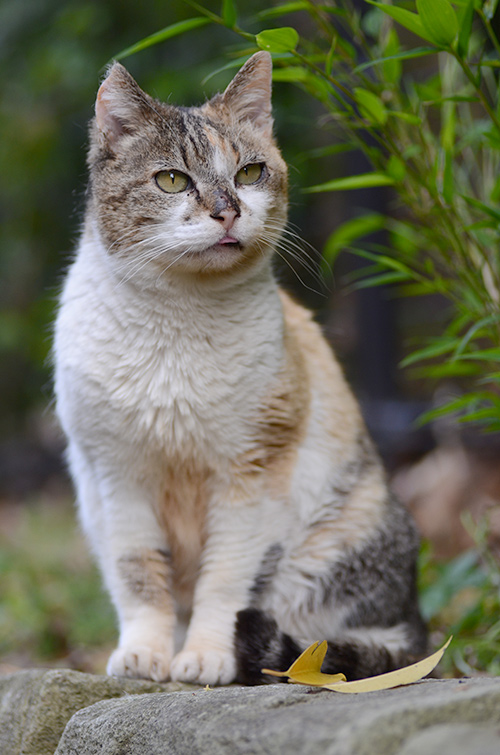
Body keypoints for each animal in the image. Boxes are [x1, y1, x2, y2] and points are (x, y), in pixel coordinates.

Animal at [54, 53, 428, 688]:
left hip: (343, 534)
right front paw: (145, 656)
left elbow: (226, 581)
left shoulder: (251, 475)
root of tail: (416, 614)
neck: (175, 322)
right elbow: (140, 574)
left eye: (251, 173)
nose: (226, 210)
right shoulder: (116, 474)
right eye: (172, 180)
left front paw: (206, 657)